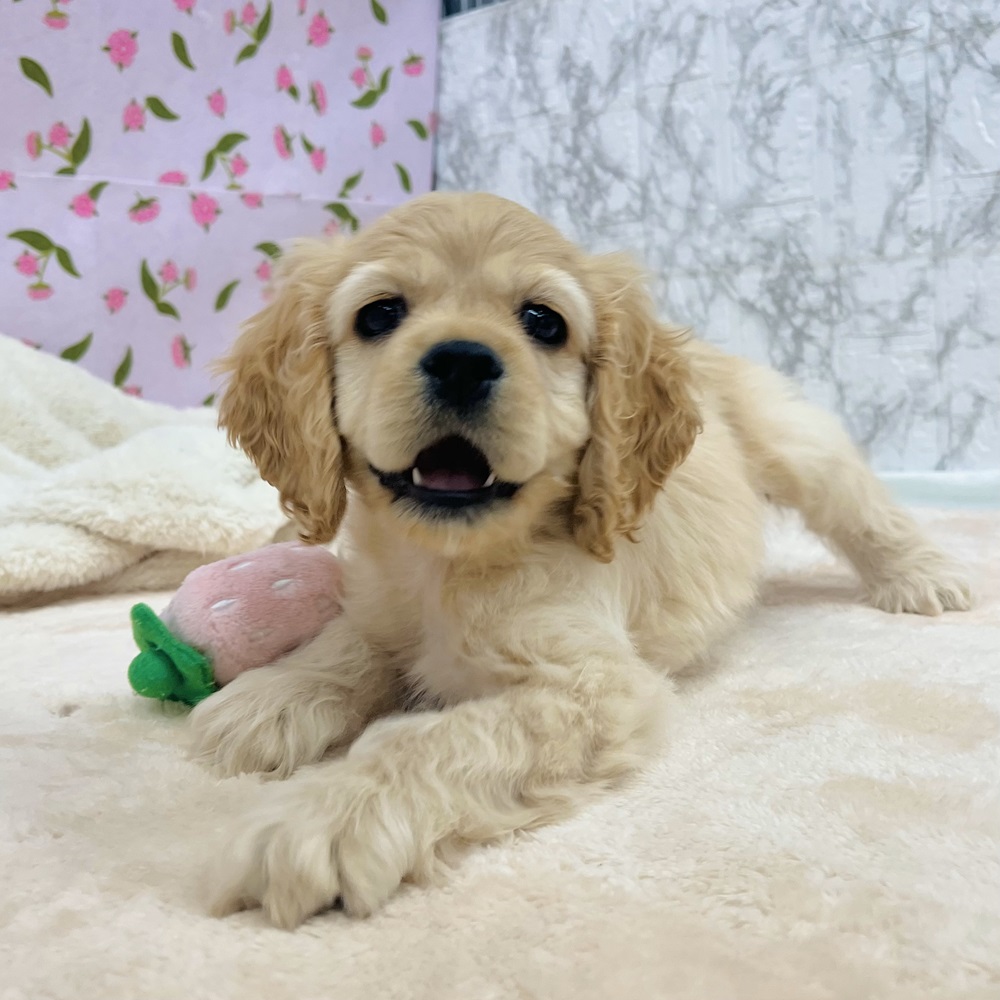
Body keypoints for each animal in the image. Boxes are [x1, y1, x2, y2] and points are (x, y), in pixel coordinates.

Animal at [191, 191, 971, 928]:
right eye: (380, 314)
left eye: (544, 322)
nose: (462, 361)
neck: (447, 565)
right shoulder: (381, 603)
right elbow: (349, 643)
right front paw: (268, 698)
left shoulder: (594, 689)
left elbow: (433, 737)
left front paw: (324, 816)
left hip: (793, 437)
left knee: (857, 501)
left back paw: (924, 576)